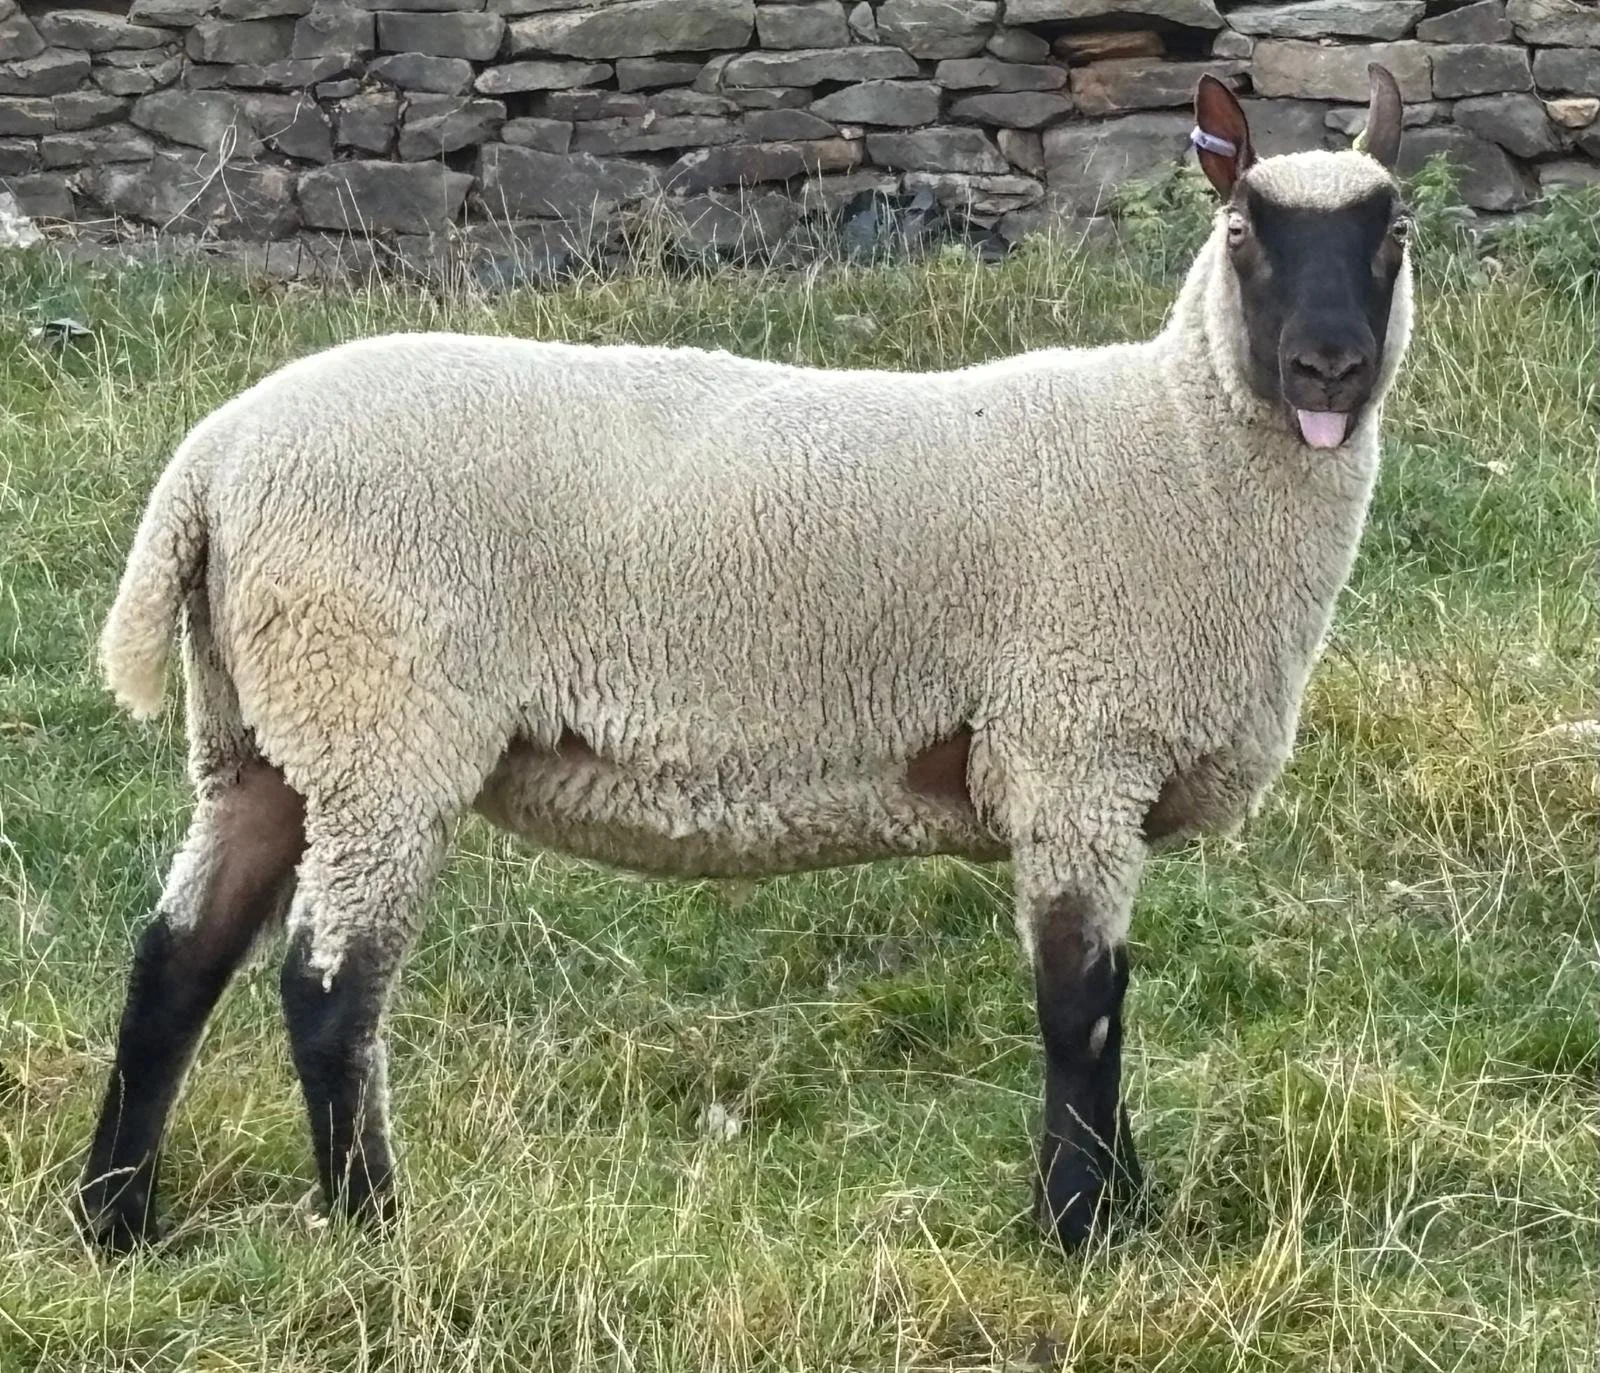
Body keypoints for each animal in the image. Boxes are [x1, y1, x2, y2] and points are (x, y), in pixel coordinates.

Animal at [79, 67, 1413, 1254]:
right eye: (1241, 232)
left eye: (1392, 233)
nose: (1328, 367)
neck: (1180, 445)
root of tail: (215, 457)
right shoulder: (1073, 751)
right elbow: (1080, 1008)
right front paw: (1081, 1230)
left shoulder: (1089, 776)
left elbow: (1103, 1002)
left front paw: (1120, 1206)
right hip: (381, 722)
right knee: (327, 988)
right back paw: (372, 1229)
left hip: (266, 732)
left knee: (173, 963)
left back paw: (116, 1221)